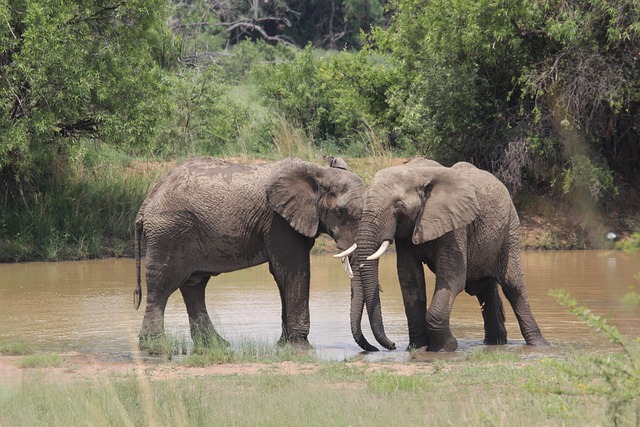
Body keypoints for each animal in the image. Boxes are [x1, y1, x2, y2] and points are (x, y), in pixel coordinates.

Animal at [134, 157, 364, 352]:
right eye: (341, 213)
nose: (369, 348)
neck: (319, 172)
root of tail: (145, 204)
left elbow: (281, 275)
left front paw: (283, 346)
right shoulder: (278, 221)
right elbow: (293, 271)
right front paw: (302, 349)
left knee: (194, 286)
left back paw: (216, 345)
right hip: (168, 233)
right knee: (162, 285)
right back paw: (155, 347)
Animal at [350, 157, 552, 352]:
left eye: (398, 206)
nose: (391, 345)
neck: (417, 172)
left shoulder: (456, 226)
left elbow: (452, 279)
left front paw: (445, 348)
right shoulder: (407, 232)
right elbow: (410, 281)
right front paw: (417, 349)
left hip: (510, 229)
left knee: (513, 286)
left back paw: (539, 345)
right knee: (485, 290)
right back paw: (495, 343)